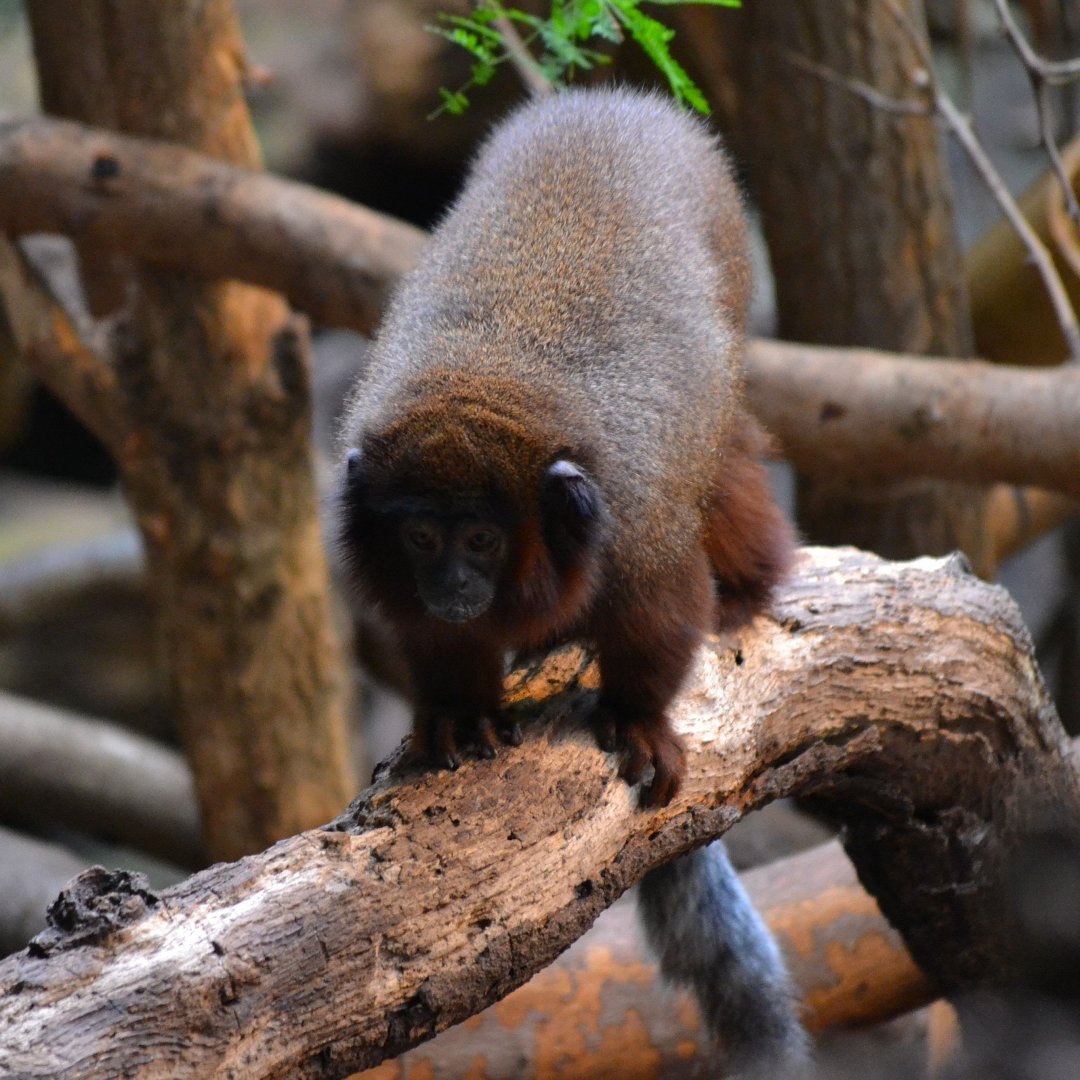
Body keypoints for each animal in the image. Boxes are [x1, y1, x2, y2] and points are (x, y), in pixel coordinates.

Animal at [338, 88, 808, 1075]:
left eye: (482, 539)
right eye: (423, 538)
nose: (453, 584)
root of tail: (616, 101)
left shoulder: (632, 523)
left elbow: (662, 612)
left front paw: (635, 717)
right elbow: (438, 647)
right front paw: (460, 711)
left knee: (725, 457)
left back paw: (748, 589)